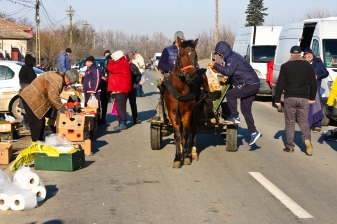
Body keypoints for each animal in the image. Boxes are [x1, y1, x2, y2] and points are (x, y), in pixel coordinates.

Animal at [163, 38, 207, 168]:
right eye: (181, 55)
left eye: (195, 55)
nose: (191, 75)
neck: (180, 89)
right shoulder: (172, 113)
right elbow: (178, 135)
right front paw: (178, 157)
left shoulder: (188, 112)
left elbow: (187, 133)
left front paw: (187, 156)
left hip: (197, 111)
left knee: (194, 130)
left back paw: (193, 152)